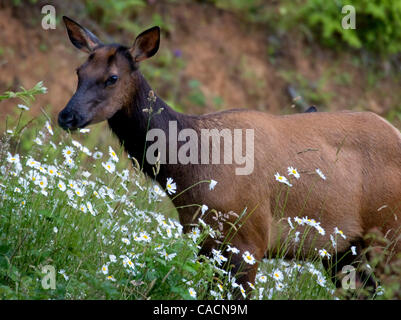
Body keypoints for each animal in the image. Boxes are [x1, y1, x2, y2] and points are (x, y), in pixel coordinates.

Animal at [58, 16, 400, 298]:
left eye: (112, 77)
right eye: (78, 72)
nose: (67, 116)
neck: (189, 172)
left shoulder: (249, 240)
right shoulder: (205, 240)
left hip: (388, 240)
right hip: (345, 253)